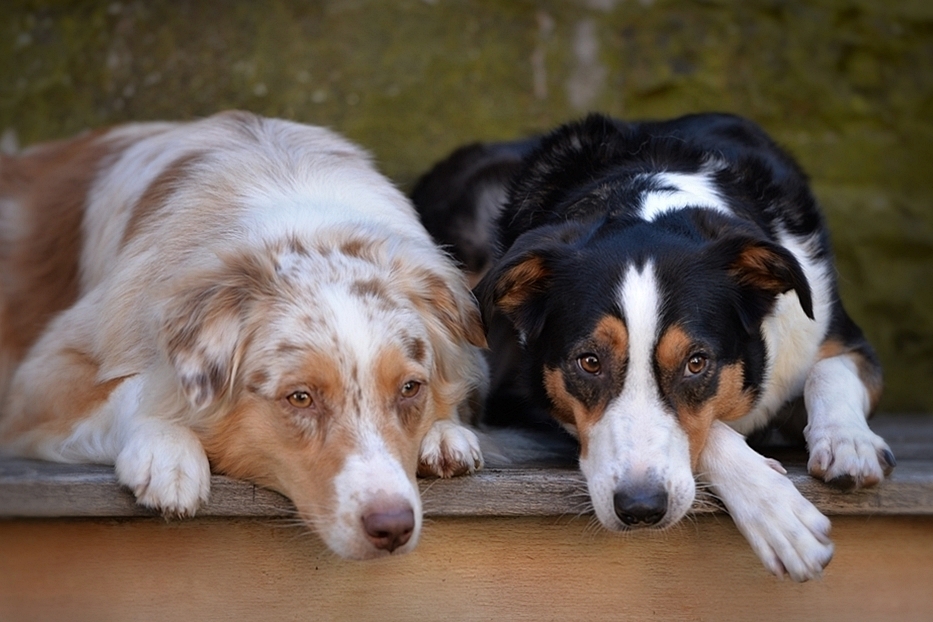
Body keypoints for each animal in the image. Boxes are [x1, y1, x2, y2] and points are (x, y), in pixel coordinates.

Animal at [1, 111, 488, 560]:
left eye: (410, 388)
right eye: (300, 398)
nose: (393, 528)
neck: (302, 223)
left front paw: (447, 433)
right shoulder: (43, 374)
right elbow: (136, 388)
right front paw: (168, 449)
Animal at [416, 113, 896, 584]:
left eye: (697, 363)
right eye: (589, 362)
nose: (641, 508)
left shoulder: (841, 338)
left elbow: (829, 372)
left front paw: (848, 441)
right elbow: (712, 432)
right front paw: (776, 512)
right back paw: (443, 435)